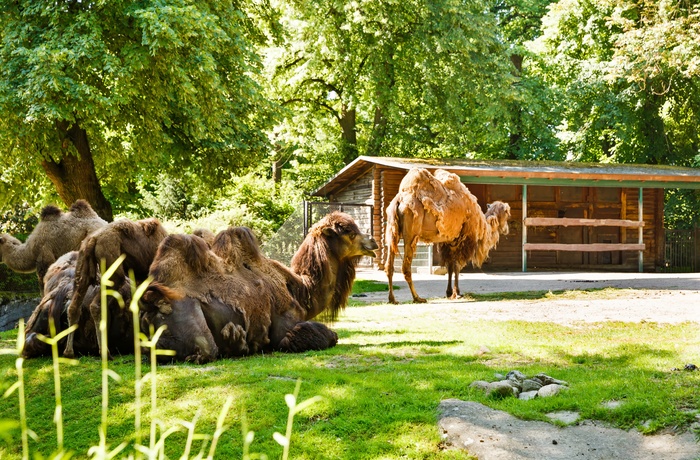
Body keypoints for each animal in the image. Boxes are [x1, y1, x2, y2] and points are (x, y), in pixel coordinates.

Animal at [63, 219, 169, 360]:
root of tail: (92, 240)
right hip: (113, 270)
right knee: (96, 305)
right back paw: (105, 352)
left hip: (82, 268)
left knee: (74, 306)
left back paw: (69, 352)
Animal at [138, 212, 378, 362]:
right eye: (349, 232)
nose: (373, 241)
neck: (301, 291)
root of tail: (149, 305)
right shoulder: (285, 326)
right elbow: (327, 336)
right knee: (207, 350)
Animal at [386, 167, 512, 304]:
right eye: (507, 213)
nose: (507, 229)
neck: (482, 224)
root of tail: (399, 200)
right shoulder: (463, 238)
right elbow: (457, 266)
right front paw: (457, 293)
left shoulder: (449, 241)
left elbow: (450, 266)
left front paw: (449, 292)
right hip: (411, 233)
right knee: (406, 267)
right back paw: (417, 298)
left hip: (392, 232)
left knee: (389, 266)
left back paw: (392, 299)